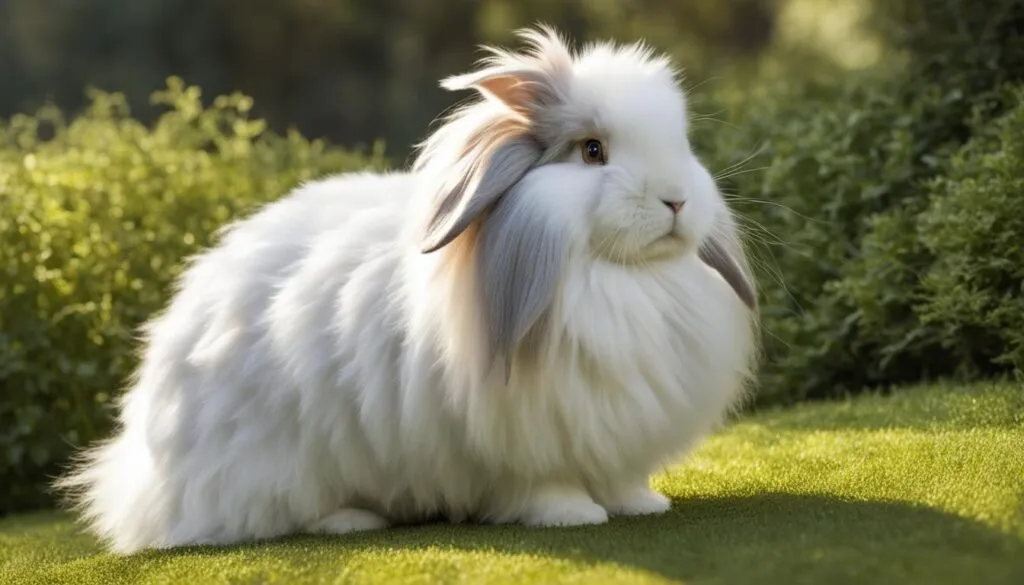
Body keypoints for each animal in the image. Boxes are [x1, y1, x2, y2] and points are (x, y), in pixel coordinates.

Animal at [56, 25, 759, 554]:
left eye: (681, 143)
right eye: (592, 151)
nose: (677, 200)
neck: (616, 277)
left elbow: (620, 476)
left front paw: (642, 504)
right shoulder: (529, 434)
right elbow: (546, 483)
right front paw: (573, 516)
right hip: (268, 467)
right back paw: (351, 521)